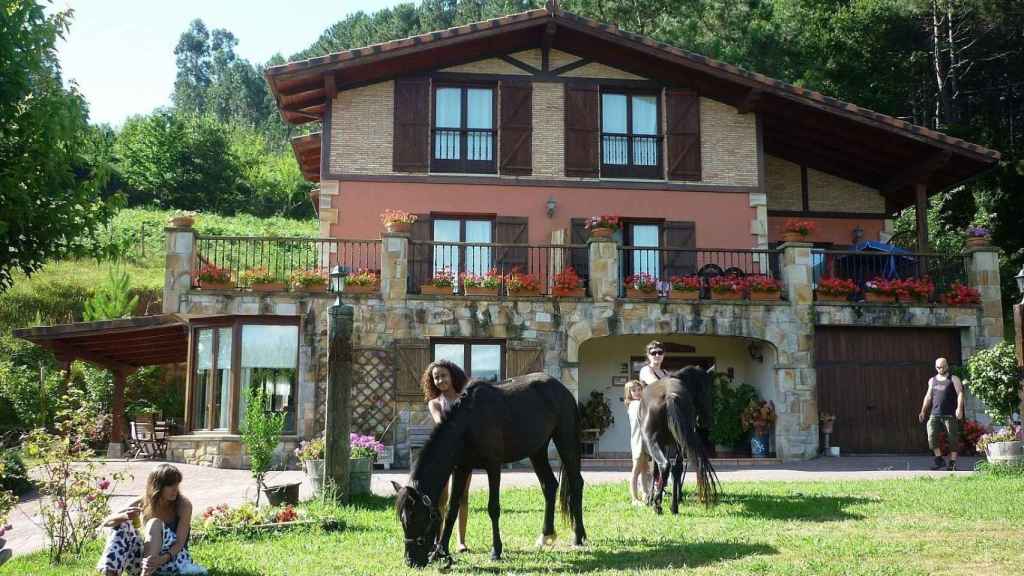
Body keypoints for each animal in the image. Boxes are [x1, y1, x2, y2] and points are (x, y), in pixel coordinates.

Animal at [389, 373, 585, 565]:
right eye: (403, 520)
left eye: (418, 517)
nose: (411, 561)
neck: (469, 423)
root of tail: (562, 389)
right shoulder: (462, 468)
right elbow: (452, 509)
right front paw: (441, 551)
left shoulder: (493, 466)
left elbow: (493, 508)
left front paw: (496, 551)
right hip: (537, 450)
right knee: (549, 486)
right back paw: (545, 536)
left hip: (565, 441)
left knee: (577, 483)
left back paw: (578, 537)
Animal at [638, 362, 720, 510]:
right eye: (707, 392)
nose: (705, 421)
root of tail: (669, 395)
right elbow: (676, 469)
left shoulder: (660, 444)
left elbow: (655, 470)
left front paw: (651, 499)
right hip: (679, 443)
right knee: (676, 468)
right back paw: (674, 506)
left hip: (652, 442)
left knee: (664, 465)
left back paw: (657, 504)